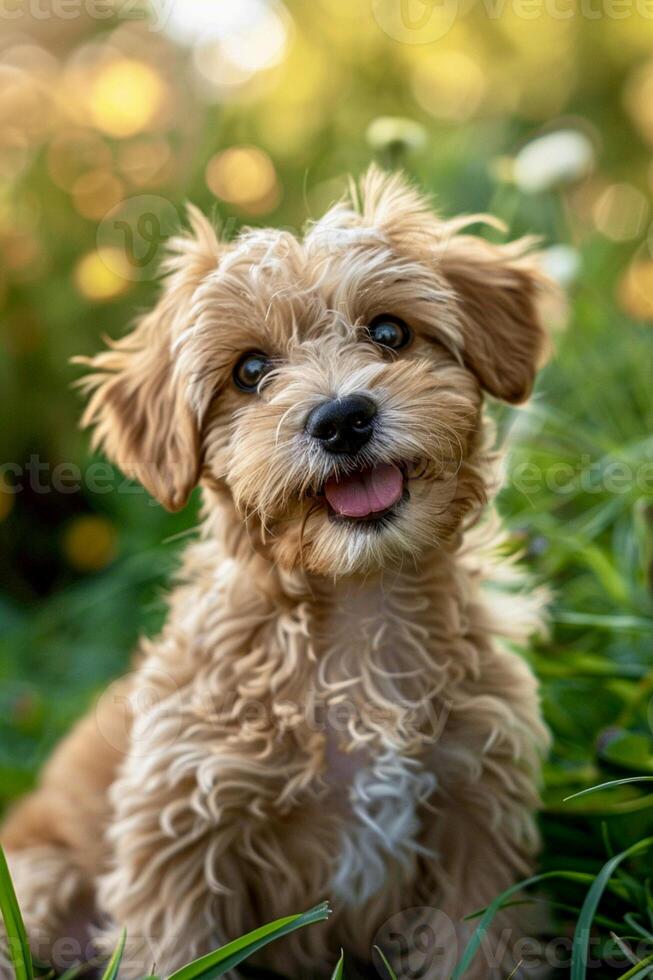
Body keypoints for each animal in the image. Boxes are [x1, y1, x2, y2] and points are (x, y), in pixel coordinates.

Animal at [2, 170, 556, 980]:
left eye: (389, 332)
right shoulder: (178, 826)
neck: (356, 606)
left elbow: (473, 944)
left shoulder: (473, 809)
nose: (341, 419)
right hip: (35, 880)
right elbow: (176, 951)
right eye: (250, 371)